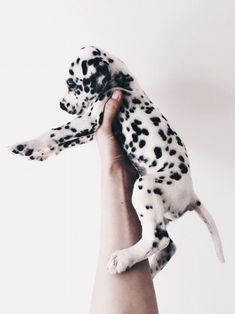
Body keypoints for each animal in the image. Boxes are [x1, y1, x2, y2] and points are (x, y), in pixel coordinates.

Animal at [10, 45, 225, 276]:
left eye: (72, 83)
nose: (62, 105)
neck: (122, 81)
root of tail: (192, 194)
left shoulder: (88, 121)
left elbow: (53, 132)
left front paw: (26, 145)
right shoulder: (89, 131)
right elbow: (61, 142)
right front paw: (37, 153)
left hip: (145, 187)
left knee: (159, 240)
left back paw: (123, 258)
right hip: (159, 212)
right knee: (169, 246)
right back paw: (149, 269)